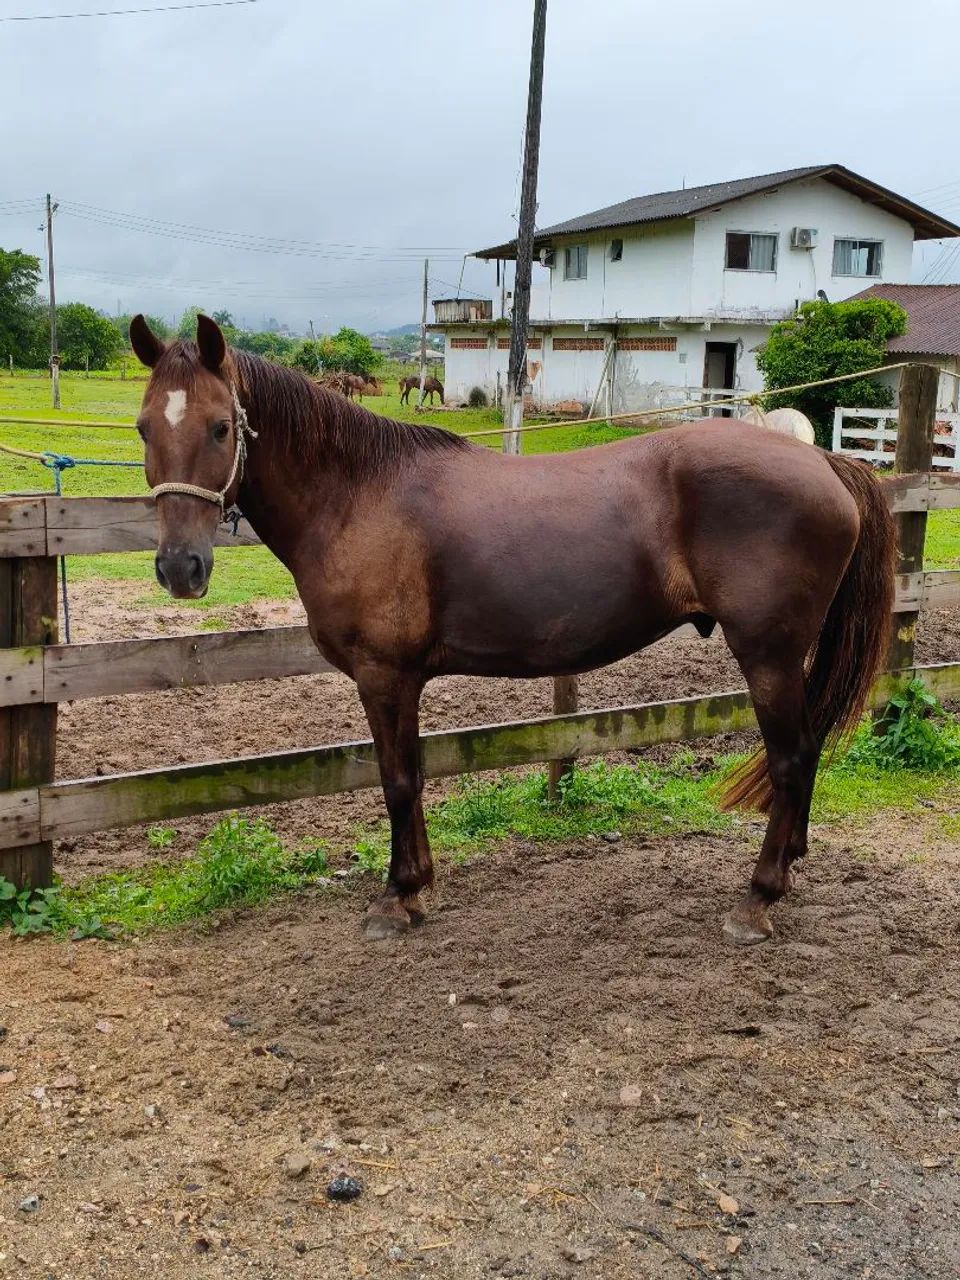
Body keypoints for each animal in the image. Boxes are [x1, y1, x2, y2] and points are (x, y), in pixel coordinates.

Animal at [130, 314, 895, 946]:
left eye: (221, 426)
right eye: (144, 428)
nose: (180, 567)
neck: (356, 495)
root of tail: (826, 460)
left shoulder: (384, 676)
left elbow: (396, 779)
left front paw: (396, 898)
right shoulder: (404, 680)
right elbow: (412, 773)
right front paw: (418, 886)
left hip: (768, 654)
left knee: (792, 759)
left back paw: (757, 899)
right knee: (806, 754)